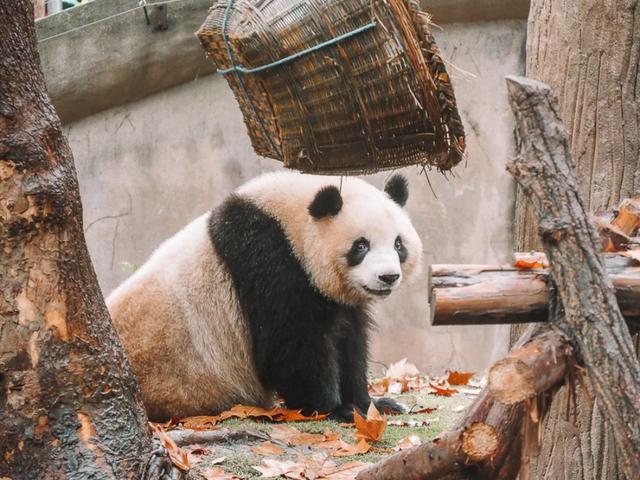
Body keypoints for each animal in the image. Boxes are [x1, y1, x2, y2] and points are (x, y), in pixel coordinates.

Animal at [107, 171, 423, 421]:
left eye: (398, 244)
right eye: (360, 246)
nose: (388, 277)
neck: (289, 221)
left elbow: (350, 343)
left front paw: (373, 404)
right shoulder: (267, 260)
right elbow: (290, 346)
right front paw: (334, 408)